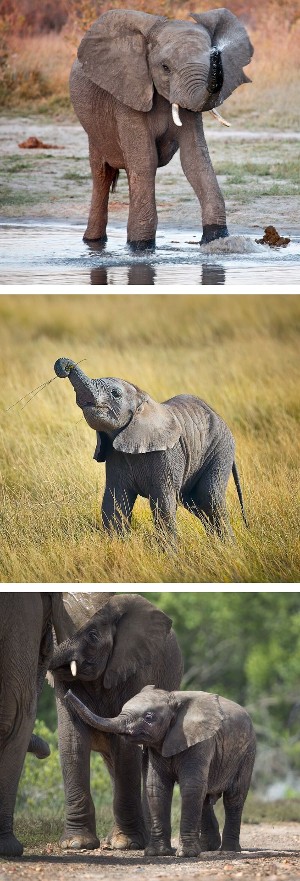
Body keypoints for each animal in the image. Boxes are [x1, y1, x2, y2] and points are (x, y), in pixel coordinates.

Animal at [49, 592, 183, 852]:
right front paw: (75, 843)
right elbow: (72, 740)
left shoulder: (136, 667)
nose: (69, 696)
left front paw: (126, 844)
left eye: (92, 635)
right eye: (50, 632)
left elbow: (127, 746)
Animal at [54, 356, 248, 536]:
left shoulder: (167, 455)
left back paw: (228, 546)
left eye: (115, 393)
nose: (64, 367)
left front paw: (169, 551)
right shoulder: (116, 456)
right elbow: (114, 502)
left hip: (221, 449)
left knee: (209, 497)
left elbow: (163, 504)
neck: (144, 400)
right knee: (194, 502)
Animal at [67, 684, 256, 856]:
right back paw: (206, 848)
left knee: (234, 797)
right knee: (205, 799)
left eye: (149, 717)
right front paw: (156, 853)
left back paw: (228, 850)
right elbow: (156, 788)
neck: (173, 698)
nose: (68, 692)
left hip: (247, 753)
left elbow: (191, 787)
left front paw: (186, 854)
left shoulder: (200, 742)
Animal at [69, 7, 253, 248]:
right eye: (165, 67)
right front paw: (140, 247)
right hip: (95, 127)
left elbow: (196, 158)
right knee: (102, 173)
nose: (216, 51)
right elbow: (145, 160)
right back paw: (93, 242)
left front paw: (215, 237)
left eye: (213, 58)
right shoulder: (128, 93)